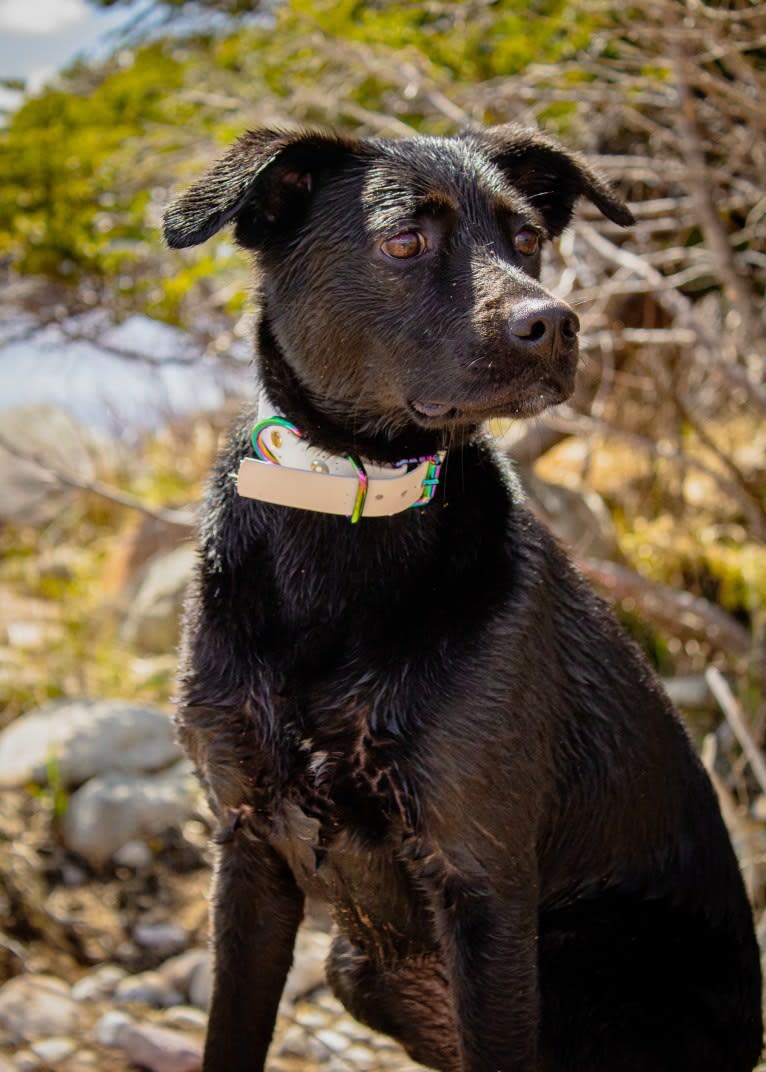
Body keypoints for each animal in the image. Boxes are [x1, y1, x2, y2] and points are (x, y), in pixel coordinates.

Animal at [162, 127, 762, 1072]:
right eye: (405, 242)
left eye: (528, 239)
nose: (554, 322)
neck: (353, 499)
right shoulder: (247, 844)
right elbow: (230, 1033)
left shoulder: (482, 883)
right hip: (359, 967)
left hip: (575, 963)